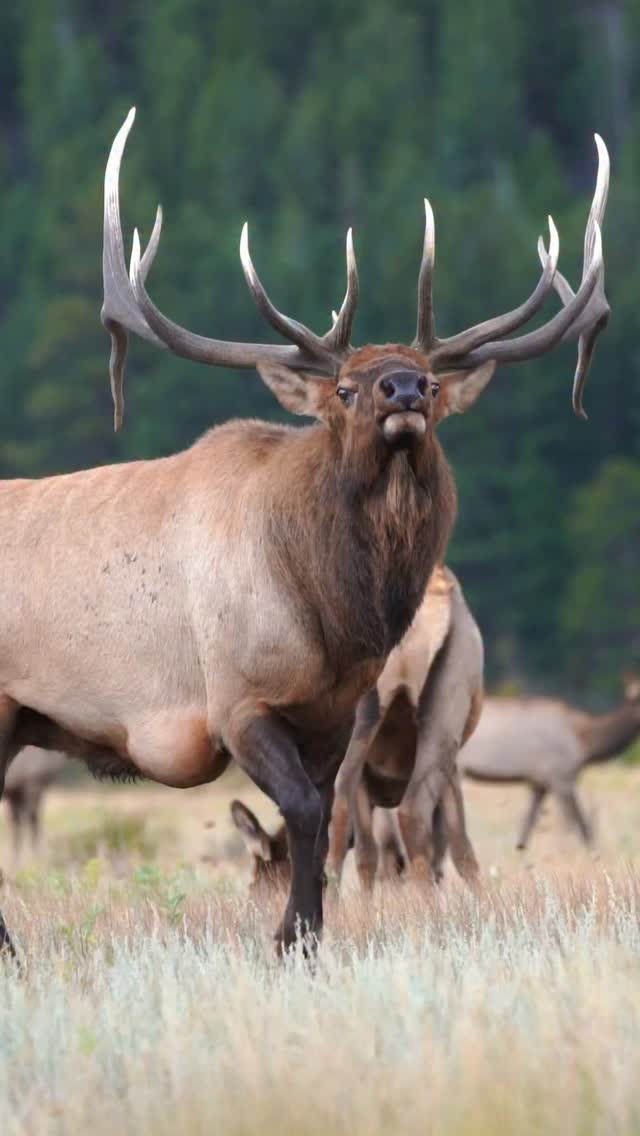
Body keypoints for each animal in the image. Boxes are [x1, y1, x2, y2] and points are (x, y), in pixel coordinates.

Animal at [328, 565, 482, 890]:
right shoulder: (451, 765)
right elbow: (460, 847)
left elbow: (366, 854)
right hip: (439, 725)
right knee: (414, 813)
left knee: (340, 806)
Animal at [458, 674, 640, 849]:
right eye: (636, 700)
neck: (586, 743)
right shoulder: (561, 778)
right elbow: (578, 825)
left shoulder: (540, 784)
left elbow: (527, 827)